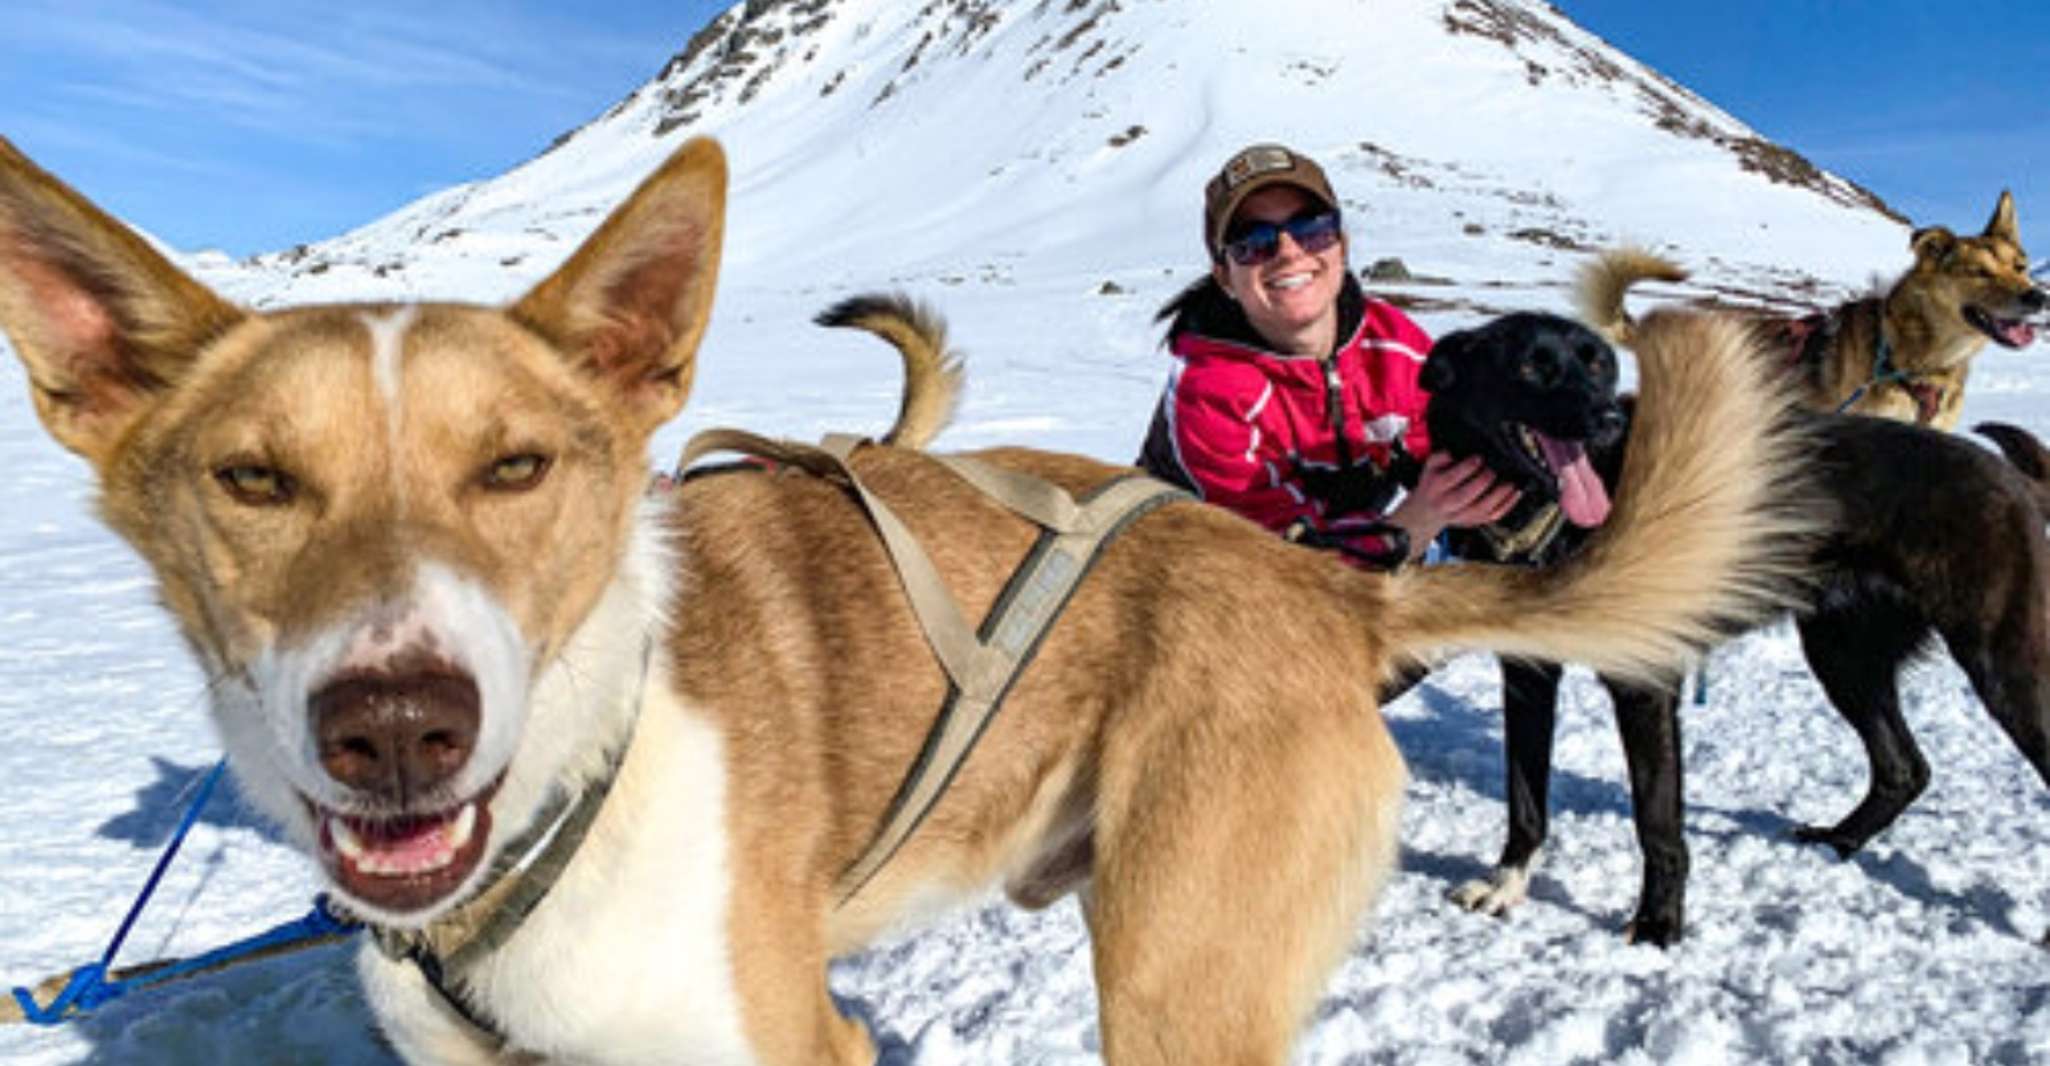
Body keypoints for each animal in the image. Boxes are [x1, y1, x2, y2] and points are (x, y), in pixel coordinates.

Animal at [0, 135, 1820, 1066]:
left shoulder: (786, 1043)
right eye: (253, 480)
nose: (394, 726)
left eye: (517, 466)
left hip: (1176, 984)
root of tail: (1318, 587)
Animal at [1418, 309, 2050, 951]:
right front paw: (1506, 883)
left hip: (2005, 670)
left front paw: (1659, 927)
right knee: (1905, 768)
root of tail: (2009, 476)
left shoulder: (1645, 686)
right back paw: (1838, 841)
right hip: (1841, 656)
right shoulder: (1527, 674)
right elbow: (1525, 798)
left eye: (1600, 366)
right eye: (1531, 366)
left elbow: (1658, 823)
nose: (1608, 418)